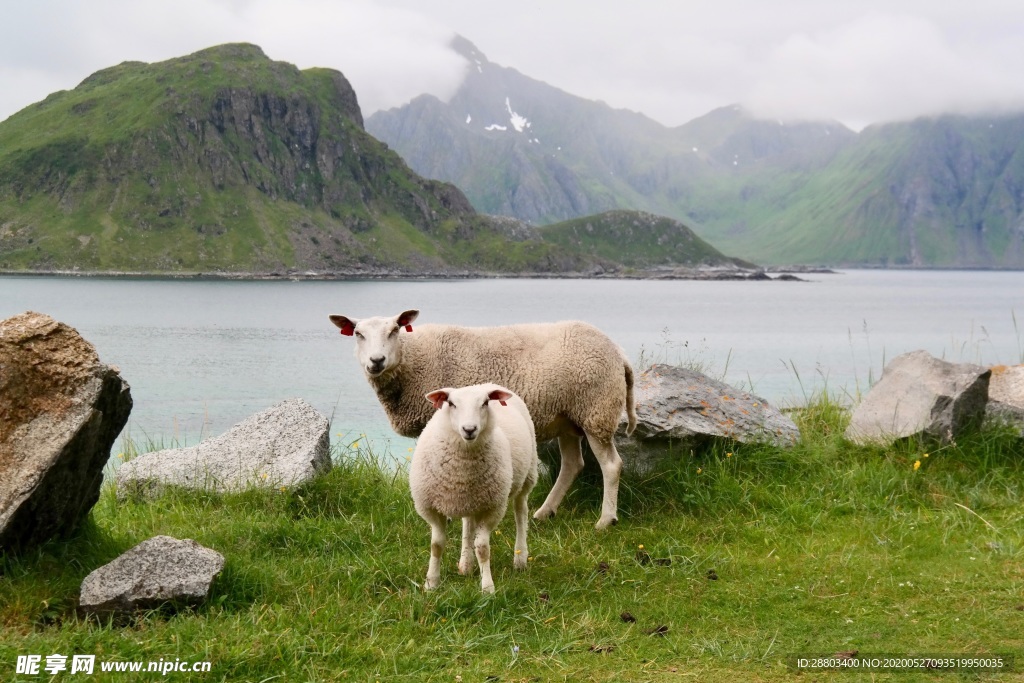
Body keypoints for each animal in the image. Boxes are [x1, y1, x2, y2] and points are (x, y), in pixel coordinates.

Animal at [327, 309, 634, 528]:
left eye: (394, 330)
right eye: (357, 334)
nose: (376, 361)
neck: (413, 360)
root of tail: (618, 351)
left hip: (596, 410)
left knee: (611, 465)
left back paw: (605, 520)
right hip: (569, 418)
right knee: (572, 464)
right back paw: (545, 512)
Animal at [407, 385, 540, 593]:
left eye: (485, 403)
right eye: (451, 403)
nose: (469, 429)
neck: (462, 469)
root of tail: (487, 383)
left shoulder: (493, 508)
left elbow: (483, 548)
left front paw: (487, 587)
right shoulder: (431, 508)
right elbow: (436, 545)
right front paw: (431, 583)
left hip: (528, 475)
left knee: (521, 513)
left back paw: (520, 558)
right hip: (471, 499)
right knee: (468, 523)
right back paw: (466, 565)